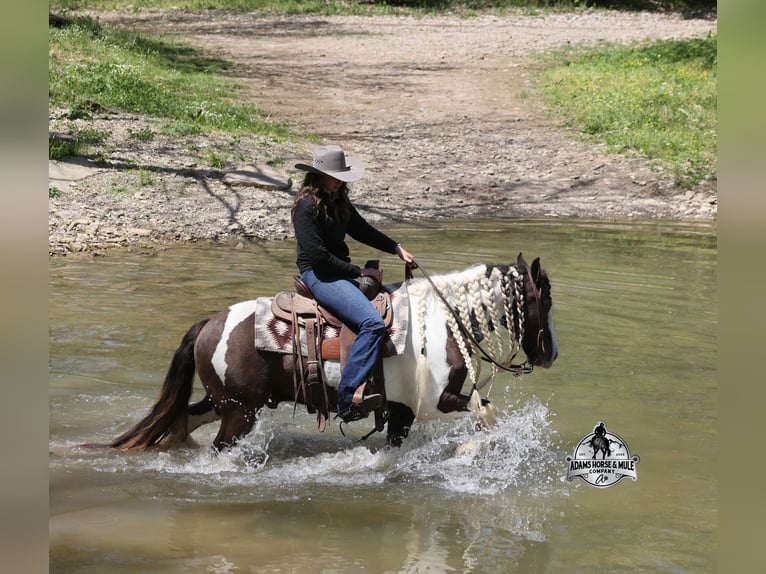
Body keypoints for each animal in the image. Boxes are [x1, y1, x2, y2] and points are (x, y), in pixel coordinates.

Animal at [107, 253, 557, 452]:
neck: (440, 318)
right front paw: (469, 453)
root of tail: (207, 324)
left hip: (228, 403)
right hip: (239, 413)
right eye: (546, 299)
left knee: (184, 418)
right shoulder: (435, 401)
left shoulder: (402, 409)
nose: (550, 354)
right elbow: (486, 412)